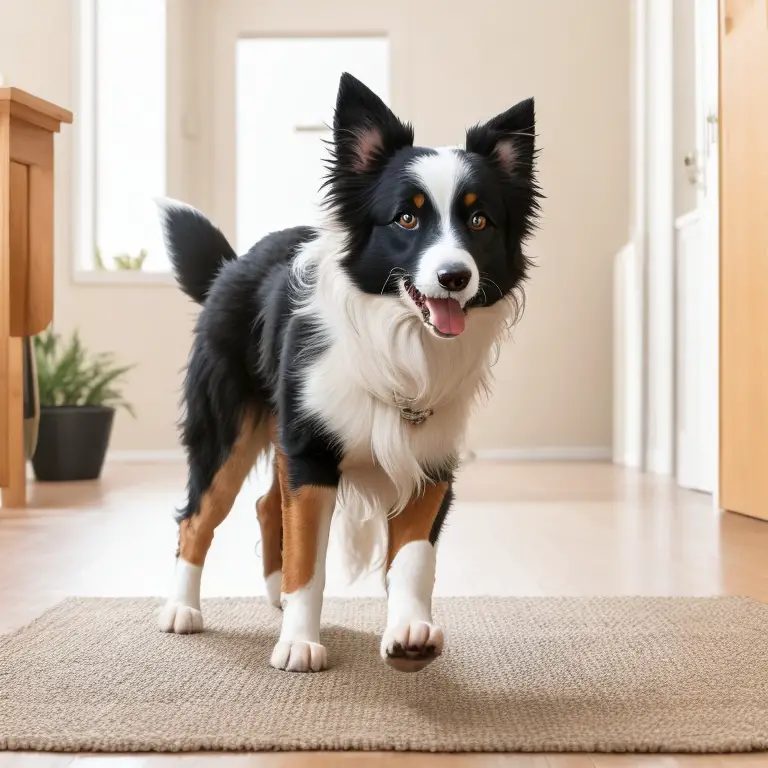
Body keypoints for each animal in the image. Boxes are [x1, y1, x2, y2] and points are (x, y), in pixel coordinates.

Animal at [157, 73, 540, 672]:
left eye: (479, 220)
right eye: (406, 217)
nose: (454, 277)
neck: (401, 343)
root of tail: (232, 265)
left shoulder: (432, 462)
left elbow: (413, 559)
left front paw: (409, 633)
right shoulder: (311, 453)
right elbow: (309, 561)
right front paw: (299, 643)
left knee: (266, 505)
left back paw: (274, 594)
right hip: (227, 429)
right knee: (198, 516)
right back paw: (182, 609)